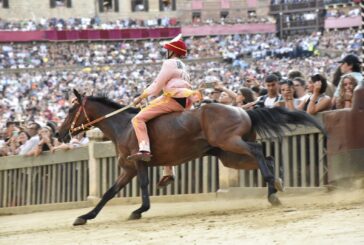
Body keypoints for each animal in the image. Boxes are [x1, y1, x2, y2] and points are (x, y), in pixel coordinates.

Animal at [58, 89, 326, 225]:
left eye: (71, 109)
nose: (60, 133)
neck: (123, 125)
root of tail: (242, 110)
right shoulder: (129, 168)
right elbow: (108, 192)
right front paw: (85, 216)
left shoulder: (138, 162)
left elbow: (141, 187)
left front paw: (140, 209)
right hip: (229, 155)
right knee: (265, 157)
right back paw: (274, 188)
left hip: (231, 142)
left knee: (259, 151)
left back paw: (273, 188)